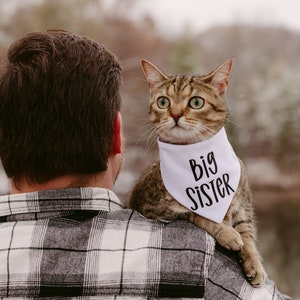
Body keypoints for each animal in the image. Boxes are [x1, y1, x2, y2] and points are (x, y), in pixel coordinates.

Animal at [127, 58, 264, 286]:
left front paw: (254, 264)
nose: (175, 115)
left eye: (196, 102)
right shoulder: (152, 209)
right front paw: (228, 234)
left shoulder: (243, 205)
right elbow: (196, 214)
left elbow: (248, 234)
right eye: (163, 102)